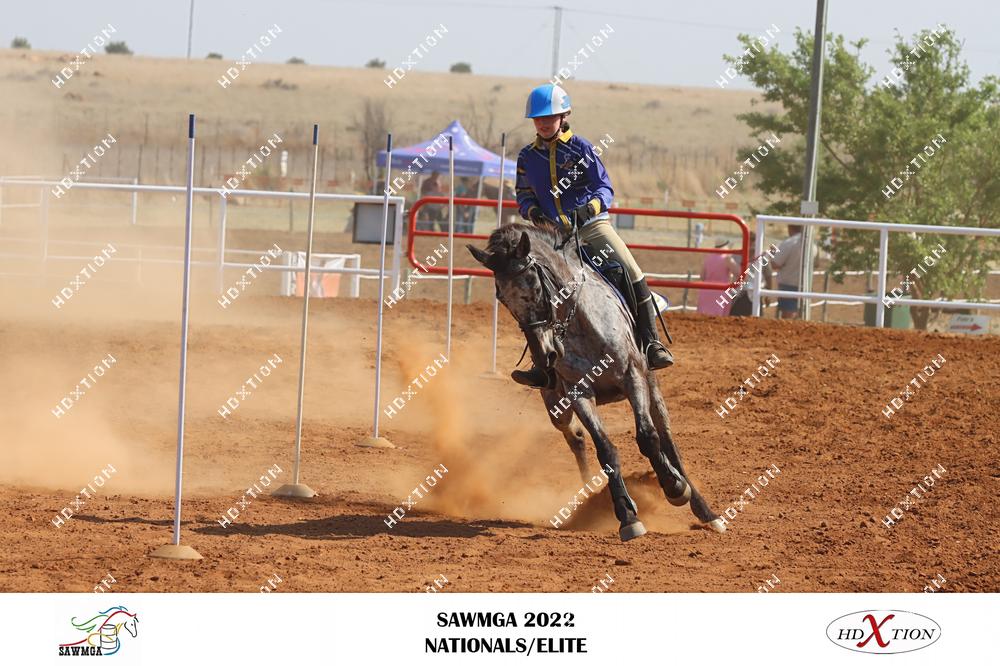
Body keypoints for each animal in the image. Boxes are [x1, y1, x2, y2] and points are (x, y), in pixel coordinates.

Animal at [468, 222, 726, 541]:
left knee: (668, 444)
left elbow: (648, 438)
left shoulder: (632, 377)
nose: (545, 355)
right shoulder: (578, 393)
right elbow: (605, 449)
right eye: (502, 298)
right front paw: (627, 515)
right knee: (576, 438)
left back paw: (705, 511)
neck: (579, 321)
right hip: (556, 405)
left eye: (534, 284)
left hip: (652, 390)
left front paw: (675, 487)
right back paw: (589, 492)